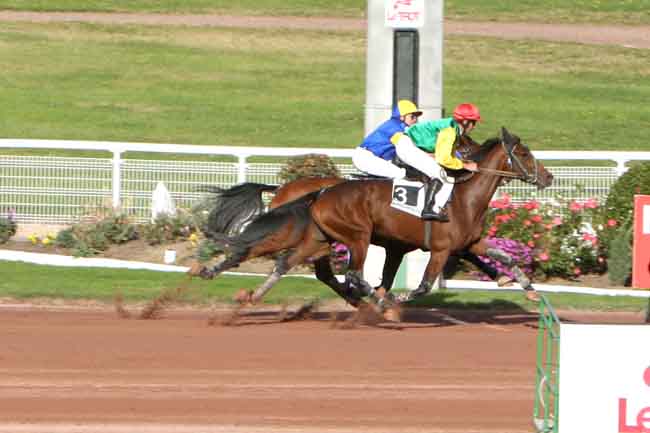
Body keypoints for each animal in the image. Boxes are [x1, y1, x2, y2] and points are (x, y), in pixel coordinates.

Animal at [191, 126, 548, 306]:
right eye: (525, 153)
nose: (548, 177)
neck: (461, 196)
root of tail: (318, 192)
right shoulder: (440, 248)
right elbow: (422, 285)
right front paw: (394, 298)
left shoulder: (467, 242)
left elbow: (504, 257)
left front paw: (523, 284)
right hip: (346, 237)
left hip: (318, 239)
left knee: (285, 263)